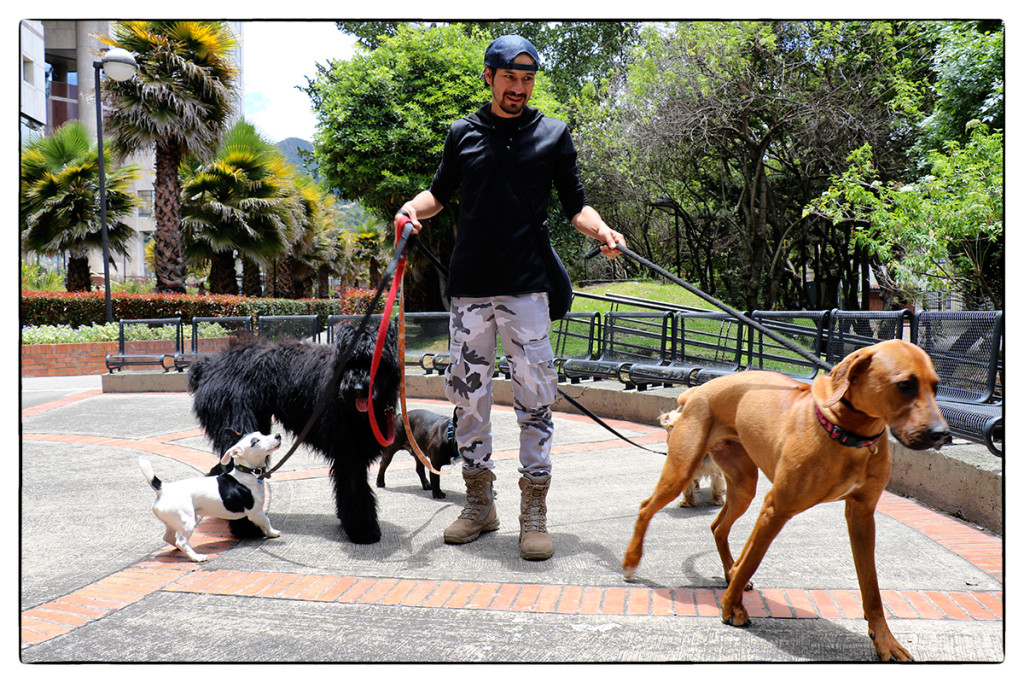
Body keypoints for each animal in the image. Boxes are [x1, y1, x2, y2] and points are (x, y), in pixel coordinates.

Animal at [140, 432, 282, 561]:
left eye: (262, 433)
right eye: (256, 441)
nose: (278, 435)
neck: (247, 473)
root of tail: (162, 489)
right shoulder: (256, 512)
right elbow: (266, 521)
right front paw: (273, 533)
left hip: (175, 521)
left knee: (169, 538)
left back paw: (181, 550)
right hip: (187, 521)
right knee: (181, 541)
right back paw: (196, 557)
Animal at [188, 325, 399, 544]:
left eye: (373, 359)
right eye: (351, 360)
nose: (357, 388)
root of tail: (208, 366)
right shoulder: (349, 452)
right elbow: (355, 488)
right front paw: (363, 530)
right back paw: (245, 528)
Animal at [622, 342, 950, 663]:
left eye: (936, 387)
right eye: (905, 385)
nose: (942, 433)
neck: (846, 433)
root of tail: (697, 390)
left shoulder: (862, 516)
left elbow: (872, 589)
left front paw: (885, 642)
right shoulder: (776, 509)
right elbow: (752, 561)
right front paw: (731, 608)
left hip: (743, 487)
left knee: (718, 526)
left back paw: (728, 571)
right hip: (682, 471)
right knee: (646, 507)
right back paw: (631, 561)